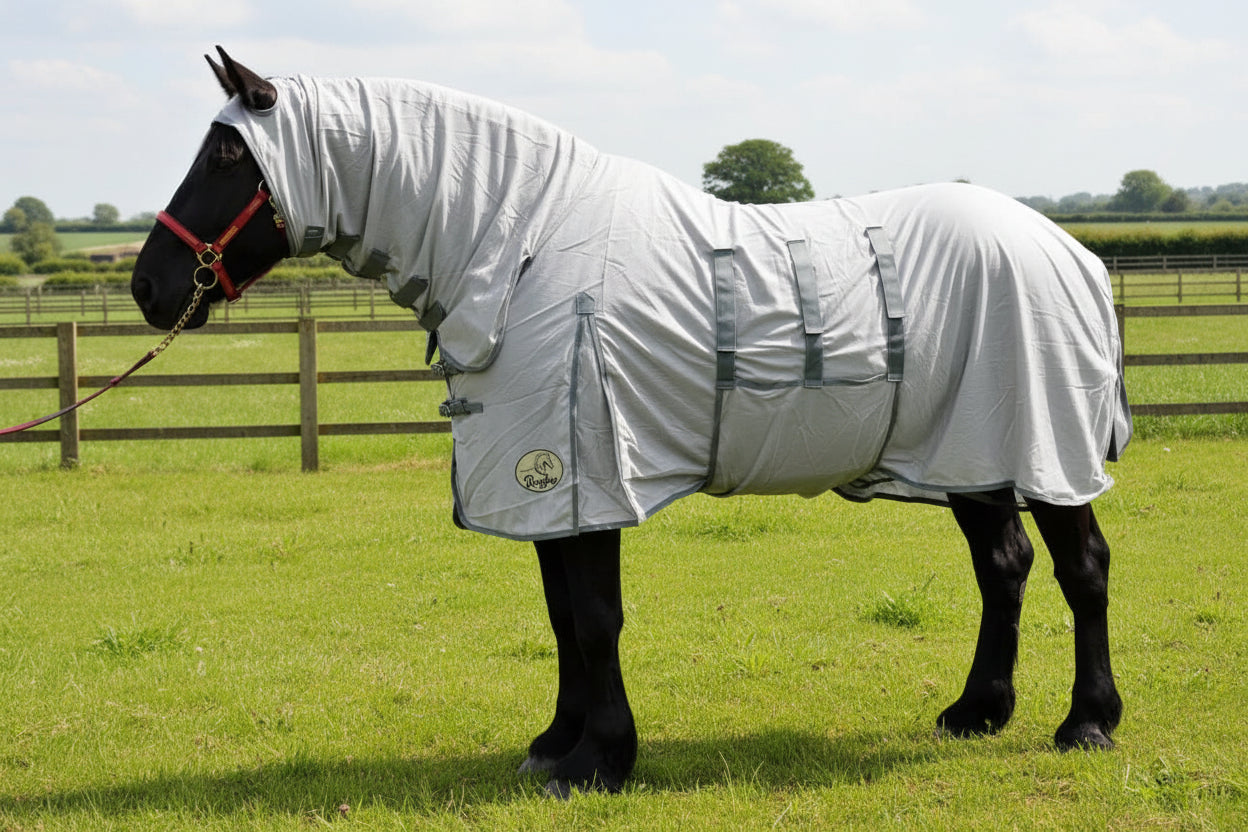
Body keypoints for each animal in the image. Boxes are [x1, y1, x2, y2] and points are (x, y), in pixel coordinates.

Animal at [131, 48, 1131, 796]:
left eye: (227, 158)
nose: (149, 287)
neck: (521, 245)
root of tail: (1069, 249)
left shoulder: (586, 474)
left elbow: (596, 618)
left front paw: (601, 760)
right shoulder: (544, 488)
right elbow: (561, 617)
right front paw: (556, 743)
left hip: (1042, 448)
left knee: (1081, 566)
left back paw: (1087, 722)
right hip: (971, 453)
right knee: (1004, 566)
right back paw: (977, 711)